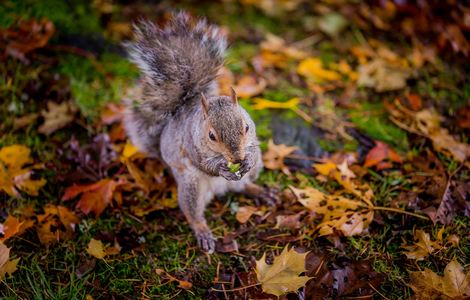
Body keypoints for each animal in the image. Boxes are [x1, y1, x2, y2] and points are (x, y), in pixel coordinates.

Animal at [124, 12, 264, 253]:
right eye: (211, 136)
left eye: (246, 126)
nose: (237, 158)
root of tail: (220, 190)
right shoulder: (190, 144)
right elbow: (204, 164)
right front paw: (221, 168)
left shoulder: (252, 141)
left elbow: (252, 152)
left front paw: (246, 161)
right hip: (191, 186)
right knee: (193, 212)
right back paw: (203, 232)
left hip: (253, 173)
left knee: (242, 186)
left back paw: (259, 191)